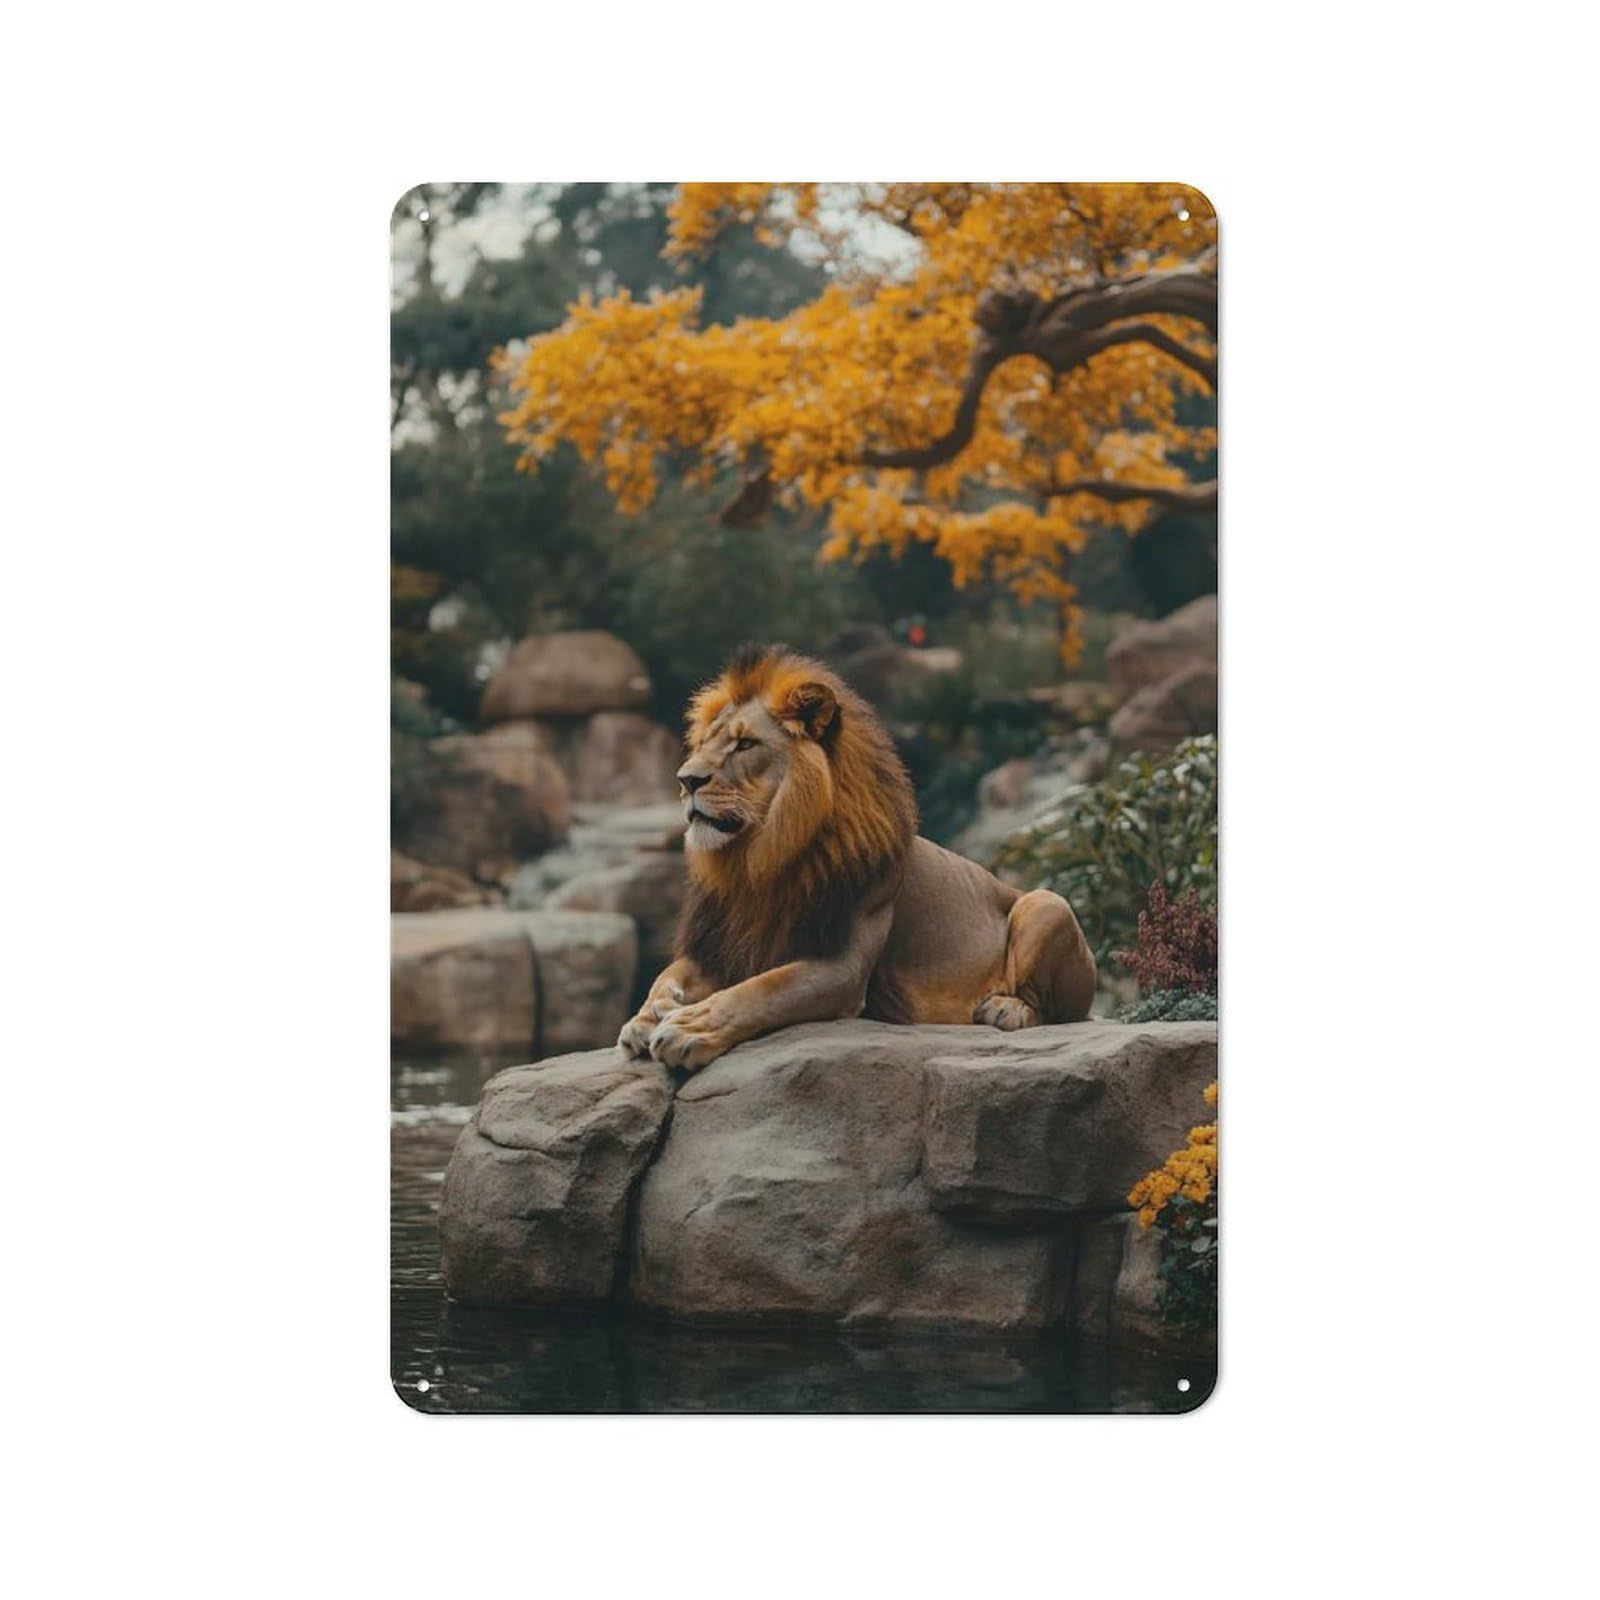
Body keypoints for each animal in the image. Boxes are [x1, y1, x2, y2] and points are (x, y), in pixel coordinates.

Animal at [618, 644, 1097, 1071]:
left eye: (745, 745)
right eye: (702, 743)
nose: (685, 780)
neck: (759, 859)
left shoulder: (840, 966)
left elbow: (761, 991)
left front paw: (690, 1028)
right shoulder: (720, 944)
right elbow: (668, 975)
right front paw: (646, 1017)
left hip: (1047, 903)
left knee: (1058, 1012)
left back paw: (1005, 1009)